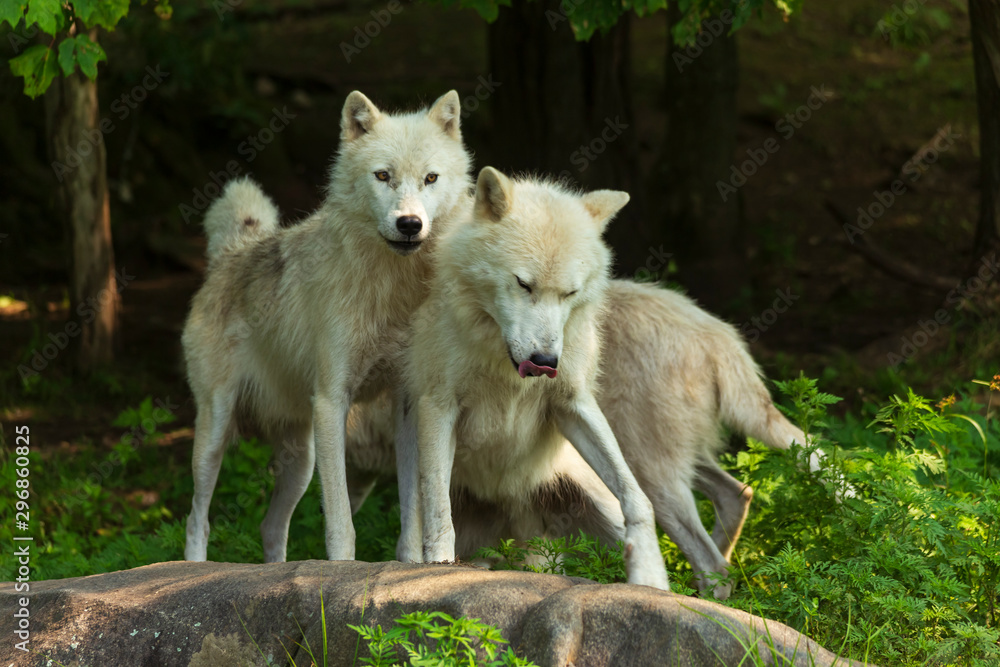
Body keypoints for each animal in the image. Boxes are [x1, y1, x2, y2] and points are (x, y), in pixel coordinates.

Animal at [183, 90, 472, 564]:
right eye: (383, 176)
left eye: (430, 178)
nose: (409, 224)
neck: (391, 291)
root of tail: (233, 251)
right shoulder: (332, 401)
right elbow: (340, 521)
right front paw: (340, 570)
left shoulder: (407, 403)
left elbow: (411, 509)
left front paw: (410, 565)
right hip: (216, 431)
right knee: (197, 519)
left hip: (300, 460)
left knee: (270, 526)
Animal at [400, 166, 672, 588]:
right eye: (523, 284)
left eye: (569, 293)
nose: (545, 360)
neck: (504, 367)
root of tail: (514, 505)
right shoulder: (437, 405)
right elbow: (437, 505)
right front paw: (440, 568)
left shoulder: (573, 404)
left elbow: (637, 497)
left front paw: (650, 576)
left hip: (593, 505)